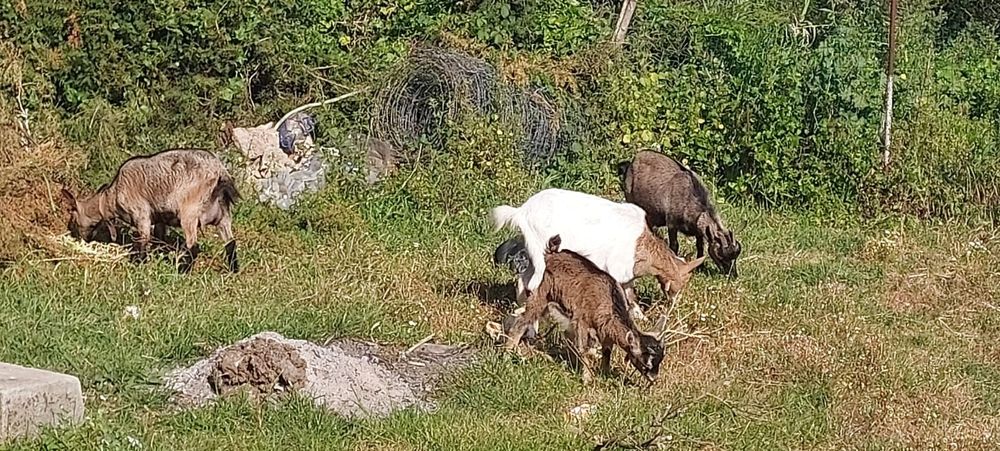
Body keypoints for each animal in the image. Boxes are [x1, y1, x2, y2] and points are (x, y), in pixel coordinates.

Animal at [60, 148, 240, 273]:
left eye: (73, 221)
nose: (77, 237)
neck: (111, 197)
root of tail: (220, 173)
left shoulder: (141, 215)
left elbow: (143, 240)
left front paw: (138, 264)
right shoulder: (160, 218)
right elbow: (158, 237)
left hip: (189, 211)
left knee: (193, 244)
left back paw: (182, 271)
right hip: (222, 213)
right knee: (230, 242)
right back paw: (233, 270)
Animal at [490, 188, 705, 319]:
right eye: (680, 282)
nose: (674, 305)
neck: (641, 245)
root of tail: (522, 211)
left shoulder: (626, 276)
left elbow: (631, 296)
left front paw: (641, 316)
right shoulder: (615, 270)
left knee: (524, 278)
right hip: (539, 245)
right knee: (533, 281)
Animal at [505, 235, 667, 383]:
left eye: (661, 359)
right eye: (645, 363)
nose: (653, 379)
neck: (607, 301)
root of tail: (550, 254)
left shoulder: (606, 330)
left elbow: (607, 351)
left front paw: (605, 374)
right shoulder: (581, 321)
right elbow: (584, 350)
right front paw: (587, 379)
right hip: (540, 294)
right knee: (522, 321)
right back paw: (508, 353)